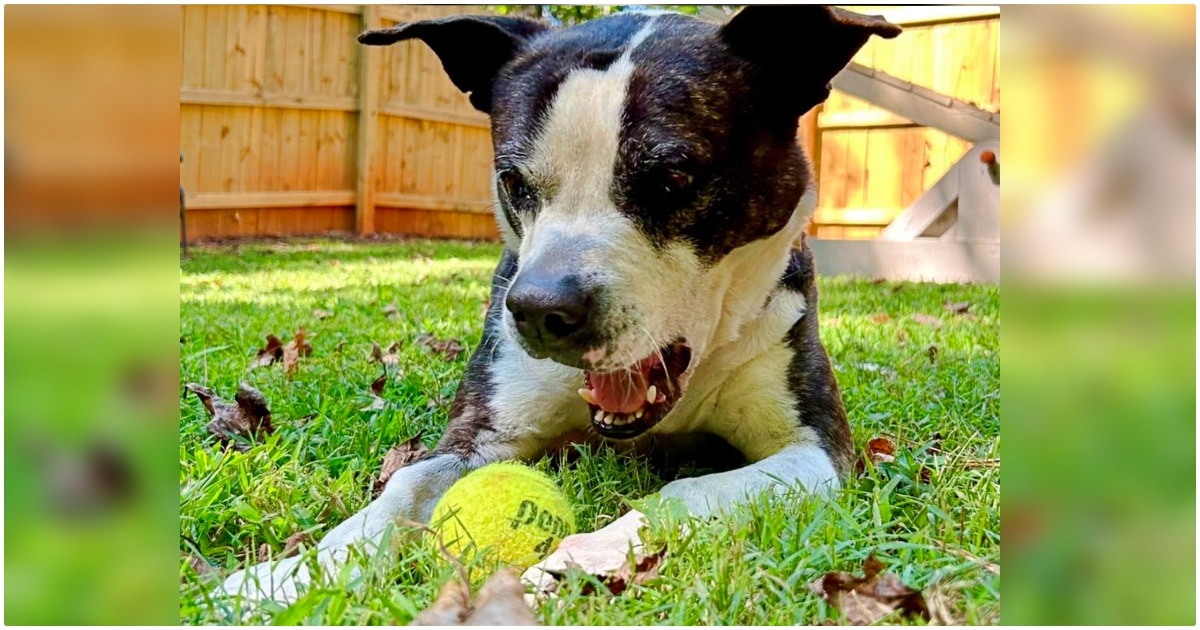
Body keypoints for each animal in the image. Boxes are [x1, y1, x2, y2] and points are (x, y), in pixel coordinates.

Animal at [218, 6, 902, 604]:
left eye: (670, 182)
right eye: (513, 183)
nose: (540, 311)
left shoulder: (816, 452)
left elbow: (688, 492)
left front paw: (580, 558)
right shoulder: (481, 434)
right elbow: (405, 483)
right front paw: (292, 576)